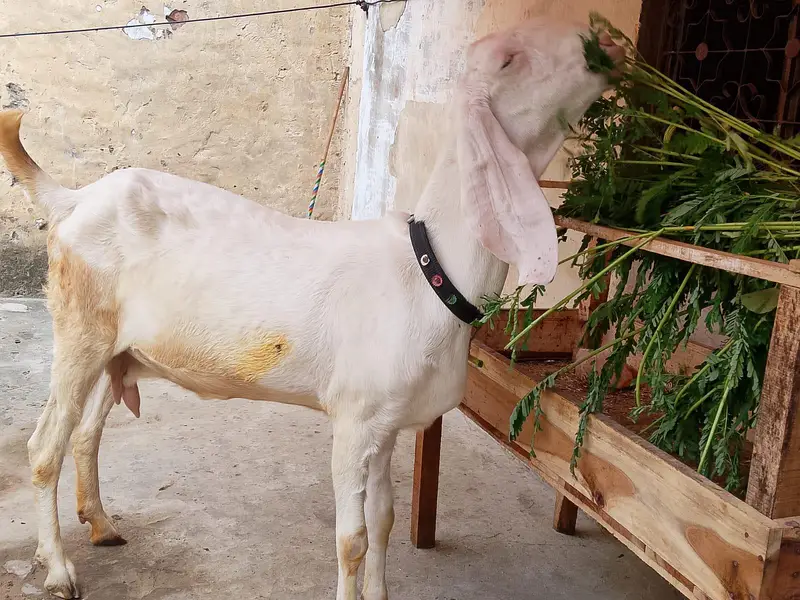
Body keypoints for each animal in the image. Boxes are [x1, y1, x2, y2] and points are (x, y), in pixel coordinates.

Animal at [0, 19, 623, 600]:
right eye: (510, 58)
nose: (608, 44)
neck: (427, 269)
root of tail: (73, 199)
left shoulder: (387, 422)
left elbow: (384, 521)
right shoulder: (354, 417)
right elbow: (351, 538)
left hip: (119, 348)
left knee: (87, 433)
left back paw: (102, 525)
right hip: (80, 329)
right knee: (45, 448)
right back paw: (59, 570)